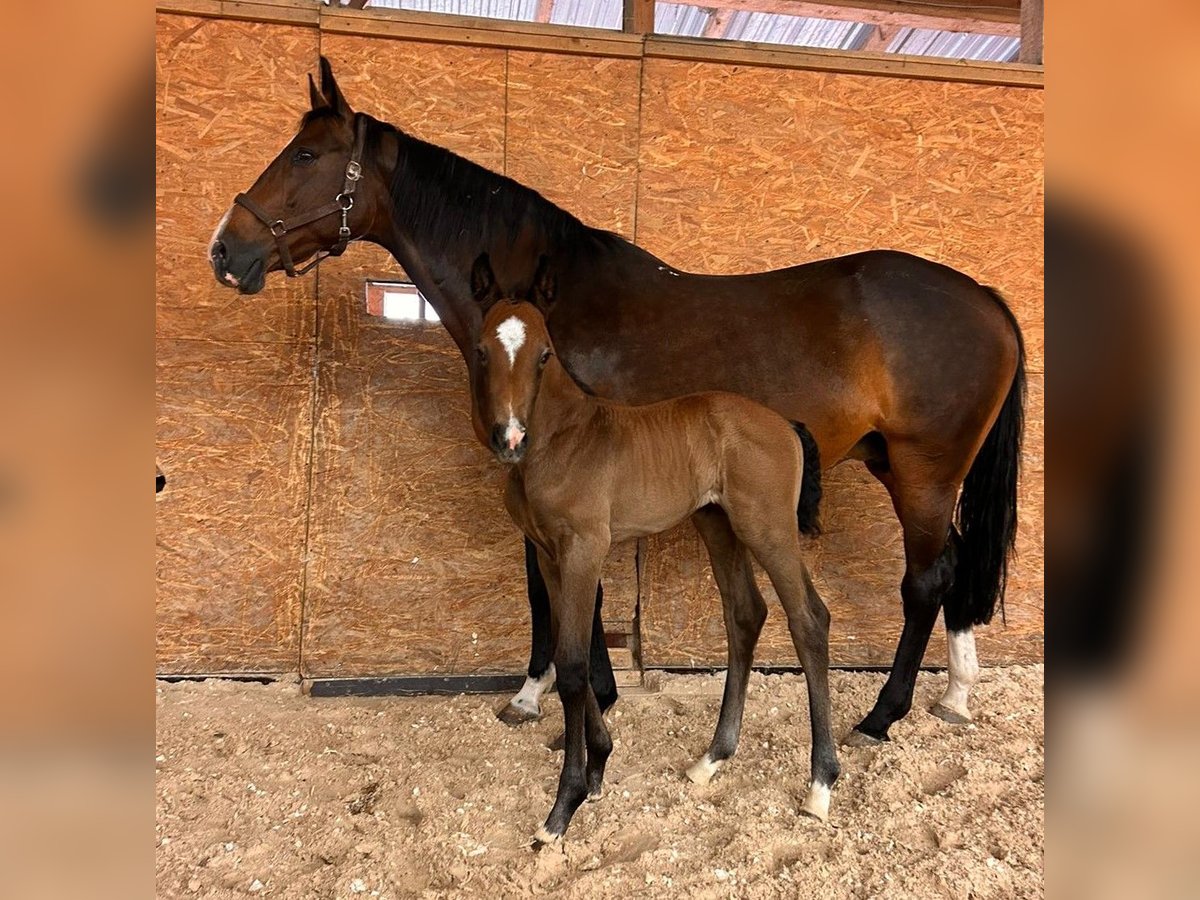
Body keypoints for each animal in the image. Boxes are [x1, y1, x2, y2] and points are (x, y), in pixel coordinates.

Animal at [211, 58, 1027, 748]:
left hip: (925, 474)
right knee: (953, 567)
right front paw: (567, 694)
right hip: (901, 468)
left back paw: (882, 716)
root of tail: (985, 297)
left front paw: (561, 697)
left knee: (924, 581)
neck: (548, 306)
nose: (226, 248)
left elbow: (563, 599)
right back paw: (954, 695)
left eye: (305, 155)